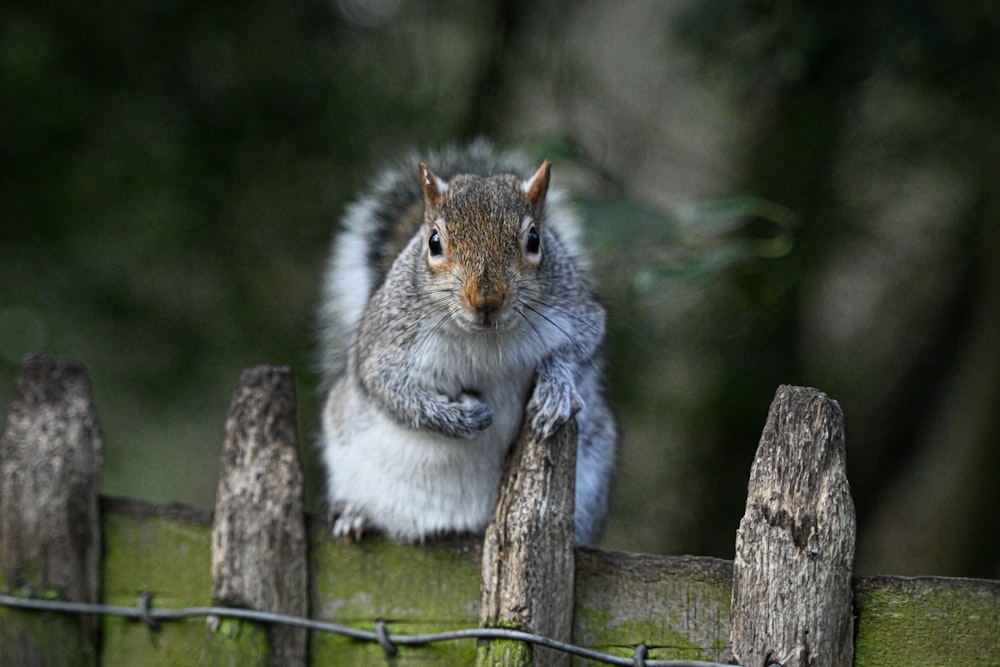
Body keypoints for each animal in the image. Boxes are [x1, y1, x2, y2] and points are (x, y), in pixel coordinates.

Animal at [316, 142, 612, 548]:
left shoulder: (579, 312)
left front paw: (555, 389)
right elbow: (391, 392)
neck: (484, 338)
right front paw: (460, 417)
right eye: (434, 242)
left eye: (534, 239)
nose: (486, 299)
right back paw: (354, 515)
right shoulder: (384, 344)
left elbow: (579, 350)